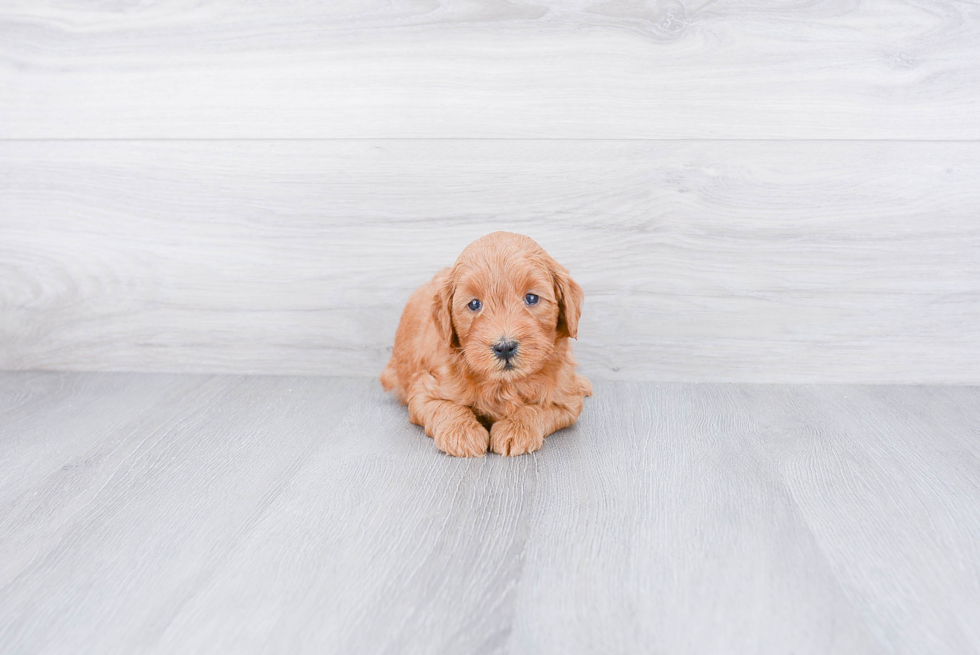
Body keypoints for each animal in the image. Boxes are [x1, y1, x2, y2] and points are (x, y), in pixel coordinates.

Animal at [378, 233, 588, 458]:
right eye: (474, 304)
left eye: (531, 298)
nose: (504, 347)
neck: (504, 384)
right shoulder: (423, 390)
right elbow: (446, 406)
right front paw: (462, 432)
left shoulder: (566, 401)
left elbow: (539, 408)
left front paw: (516, 428)